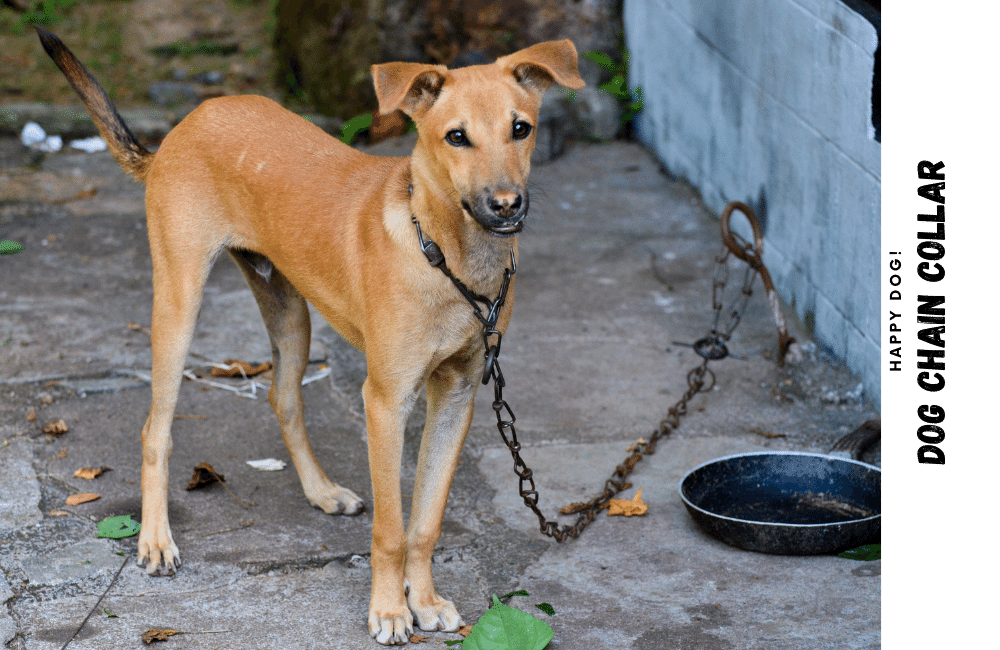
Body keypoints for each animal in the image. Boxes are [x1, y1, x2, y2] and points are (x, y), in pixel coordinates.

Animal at [37, 26, 584, 644]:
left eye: (522, 128)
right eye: (456, 137)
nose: (506, 205)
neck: (445, 254)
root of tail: (184, 126)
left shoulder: (457, 395)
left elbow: (426, 521)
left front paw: (423, 600)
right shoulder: (386, 400)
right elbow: (393, 529)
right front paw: (389, 610)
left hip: (290, 313)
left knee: (284, 398)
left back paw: (321, 491)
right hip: (179, 301)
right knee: (157, 429)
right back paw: (156, 539)